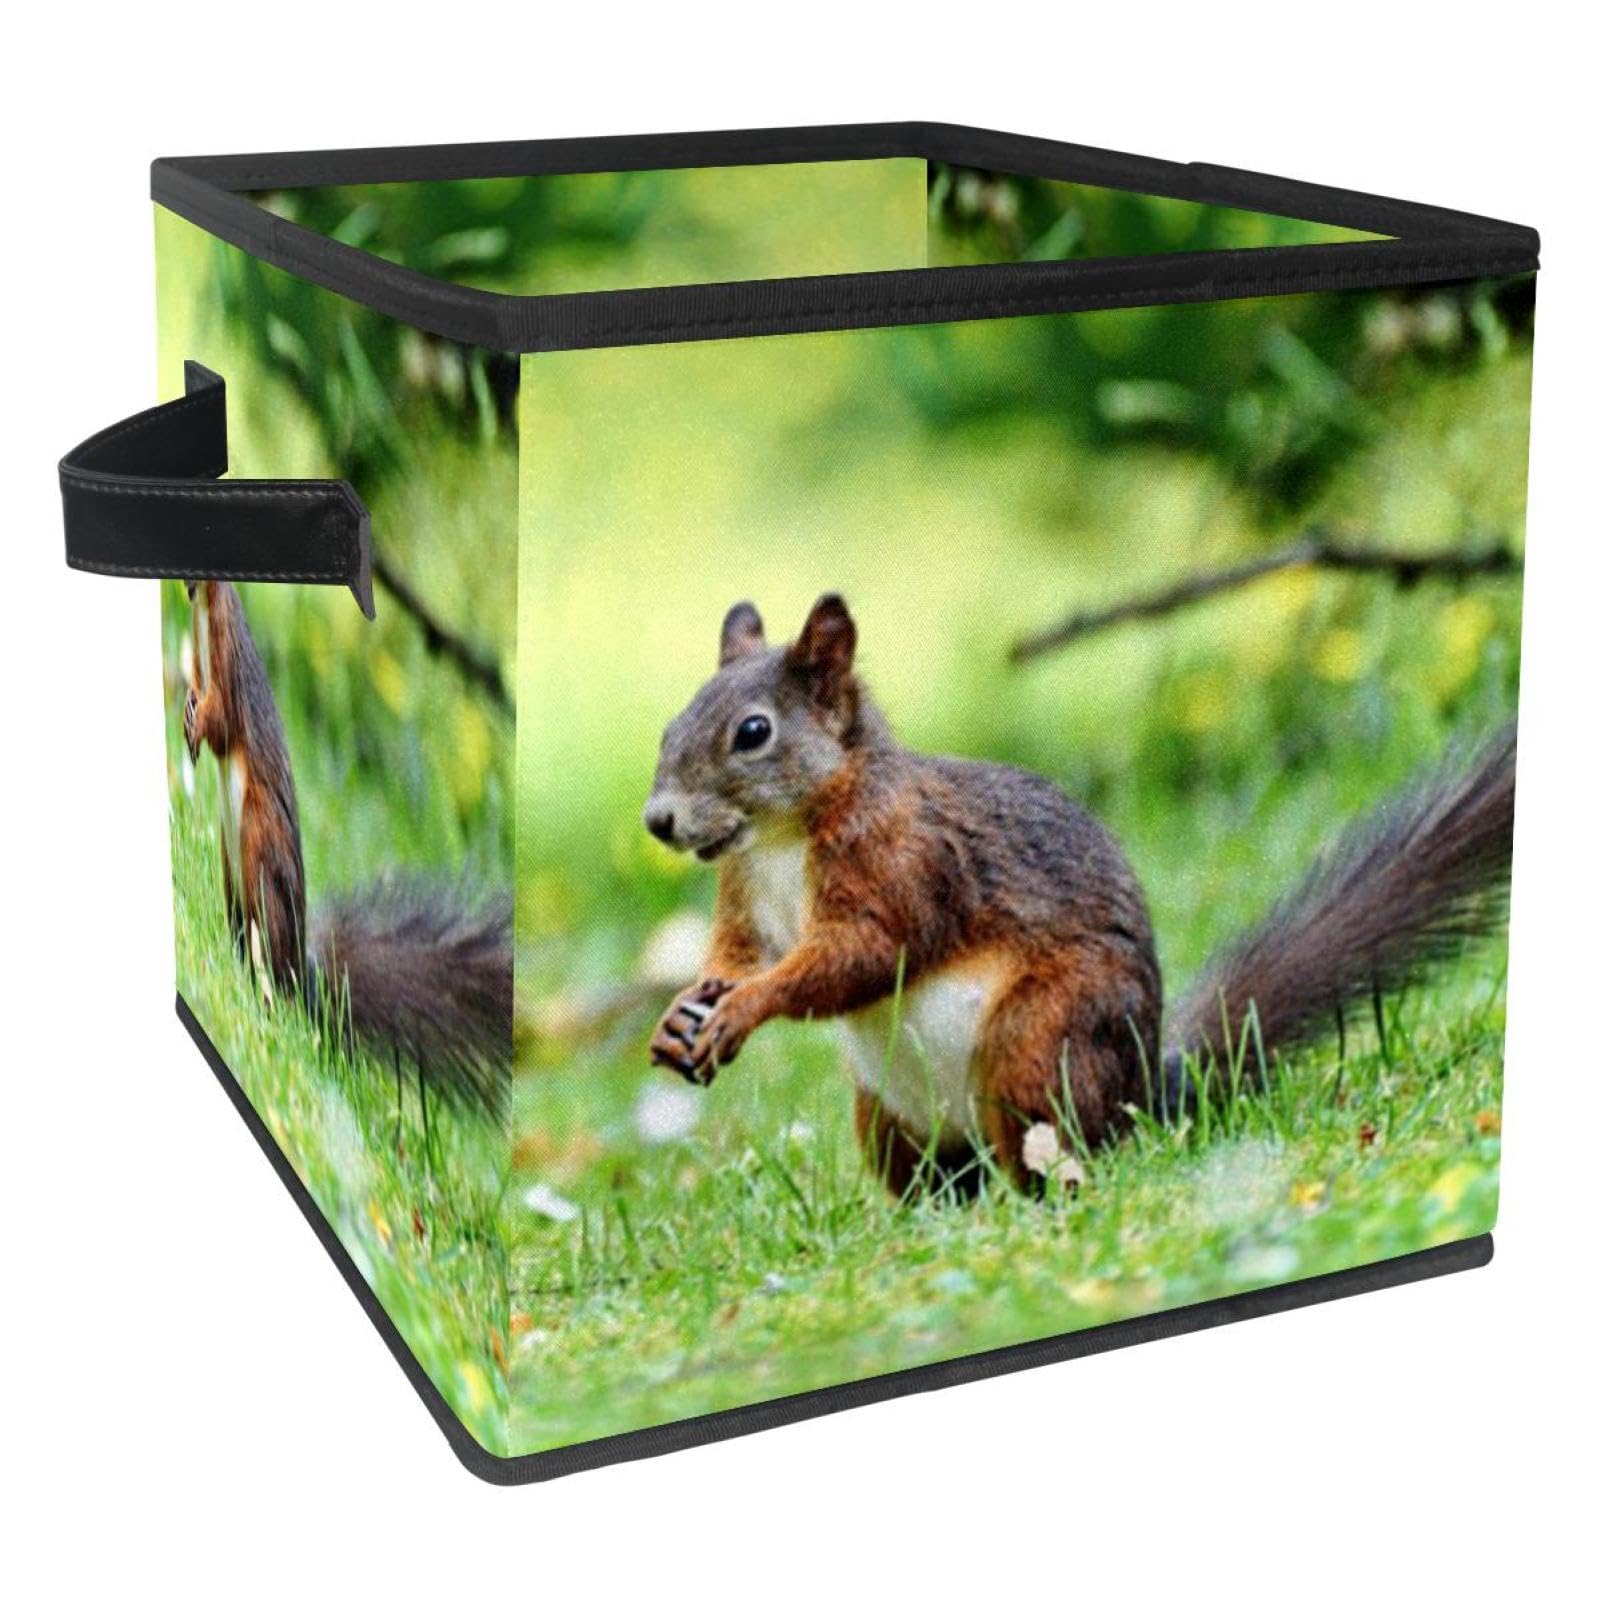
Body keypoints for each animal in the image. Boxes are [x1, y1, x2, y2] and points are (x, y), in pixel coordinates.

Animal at [181, 579, 513, 1117]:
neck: (203, 615)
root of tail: (302, 972)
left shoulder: (230, 667)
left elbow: (223, 721)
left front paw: (196, 723)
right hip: (232, 874)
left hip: (259, 848)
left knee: (266, 958)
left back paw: (264, 991)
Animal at [645, 593, 1516, 1195]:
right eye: (668, 728)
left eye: (752, 732)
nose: (659, 820)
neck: (779, 839)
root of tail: (1140, 1091)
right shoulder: (742, 892)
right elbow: (737, 950)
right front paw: (686, 1010)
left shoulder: (905, 862)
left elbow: (859, 954)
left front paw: (743, 1007)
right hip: (886, 1114)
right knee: (944, 1180)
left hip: (1039, 1039)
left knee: (1050, 1143)